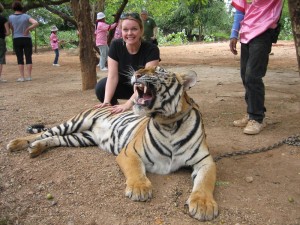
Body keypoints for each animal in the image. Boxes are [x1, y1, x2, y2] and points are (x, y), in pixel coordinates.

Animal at [7, 66, 218, 221]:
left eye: (160, 71)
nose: (136, 74)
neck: (170, 124)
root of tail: (104, 105)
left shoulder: (205, 161)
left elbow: (204, 182)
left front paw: (204, 205)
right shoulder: (130, 152)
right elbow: (136, 170)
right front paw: (139, 189)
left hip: (81, 138)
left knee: (55, 139)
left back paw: (35, 148)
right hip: (75, 122)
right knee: (45, 132)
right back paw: (17, 143)